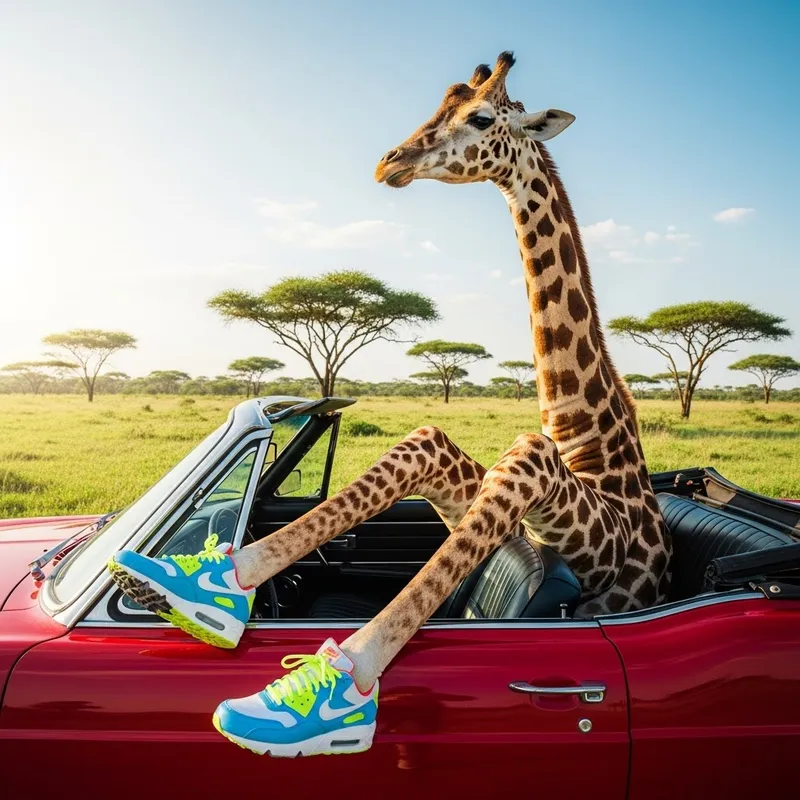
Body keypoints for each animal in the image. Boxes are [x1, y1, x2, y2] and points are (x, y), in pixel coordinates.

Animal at [110, 51, 671, 757]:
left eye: (481, 117)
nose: (389, 161)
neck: (582, 432)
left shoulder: (601, 554)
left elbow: (516, 469)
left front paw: (326, 692)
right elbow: (423, 448)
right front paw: (202, 581)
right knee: (426, 442)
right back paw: (175, 585)